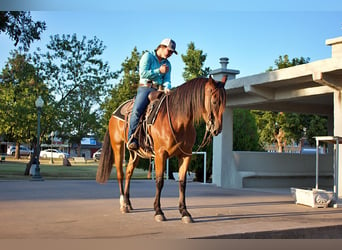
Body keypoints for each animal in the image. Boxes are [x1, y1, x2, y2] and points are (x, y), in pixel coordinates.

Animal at [97, 75, 227, 224]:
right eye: (215, 101)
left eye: (225, 102)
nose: (217, 129)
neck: (178, 120)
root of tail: (114, 113)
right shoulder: (160, 154)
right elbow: (159, 182)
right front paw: (158, 211)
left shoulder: (186, 155)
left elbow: (182, 183)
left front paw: (184, 212)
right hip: (118, 146)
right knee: (120, 174)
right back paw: (123, 204)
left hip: (135, 153)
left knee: (129, 172)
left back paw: (128, 203)